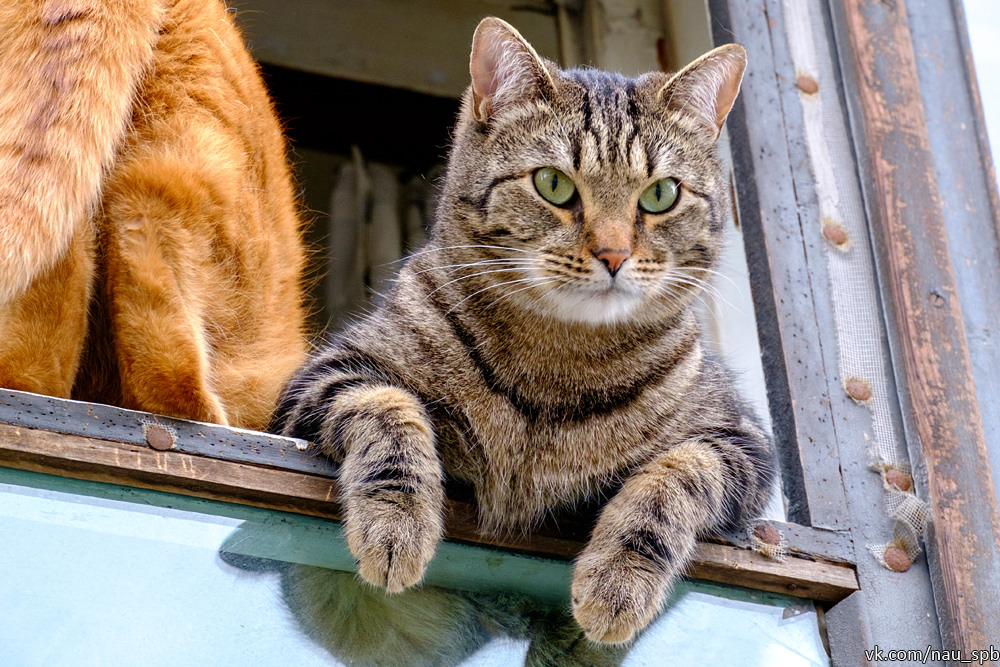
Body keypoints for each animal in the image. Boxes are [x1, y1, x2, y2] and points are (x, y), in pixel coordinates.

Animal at [274, 14, 772, 640]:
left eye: (661, 195)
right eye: (553, 184)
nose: (613, 254)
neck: (557, 357)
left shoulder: (743, 442)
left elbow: (677, 476)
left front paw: (618, 584)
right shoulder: (324, 378)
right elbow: (390, 410)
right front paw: (397, 524)